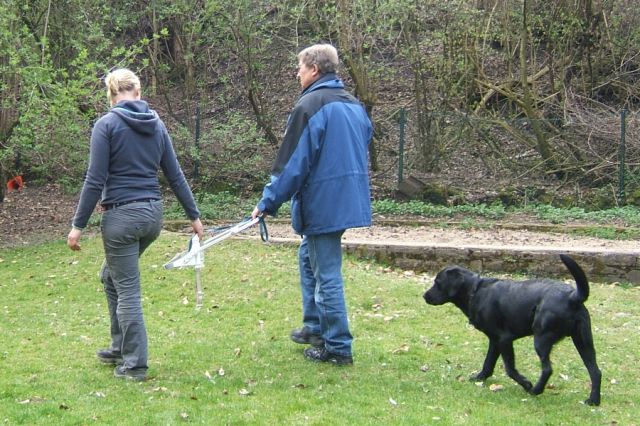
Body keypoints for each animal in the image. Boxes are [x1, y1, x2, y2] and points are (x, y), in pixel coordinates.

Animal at [424, 255, 600, 404]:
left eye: (437, 282)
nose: (424, 296)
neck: (475, 291)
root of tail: (572, 296)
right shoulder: (494, 340)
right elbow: (488, 363)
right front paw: (480, 377)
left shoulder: (504, 339)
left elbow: (509, 369)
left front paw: (526, 383)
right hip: (583, 341)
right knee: (595, 371)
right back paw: (593, 401)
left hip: (541, 339)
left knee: (547, 369)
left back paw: (536, 390)